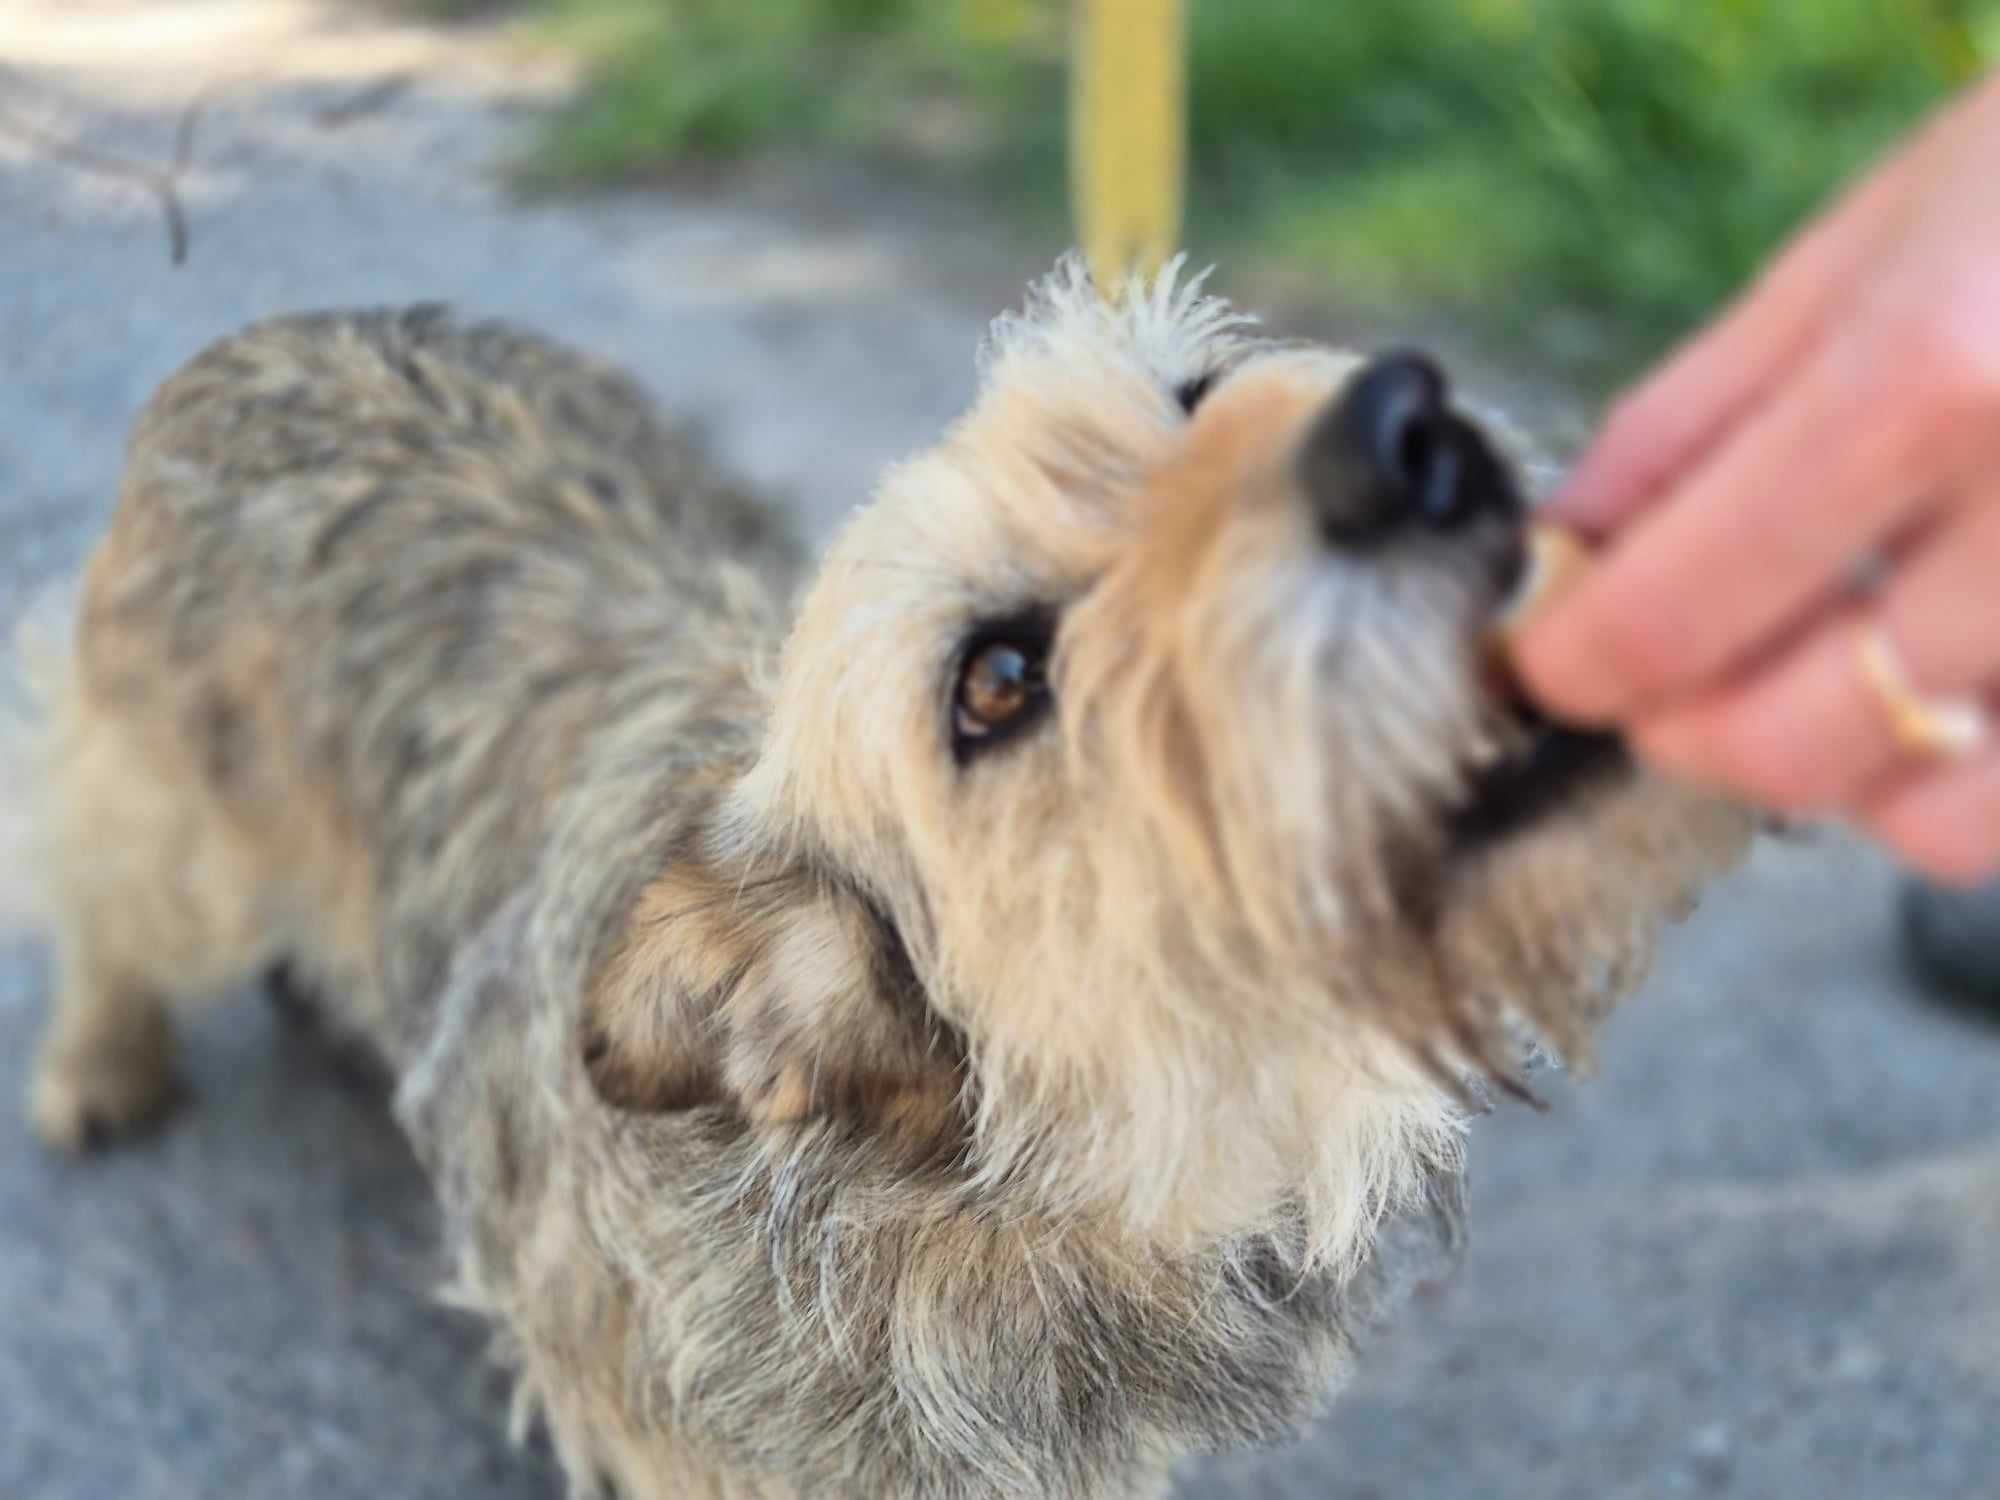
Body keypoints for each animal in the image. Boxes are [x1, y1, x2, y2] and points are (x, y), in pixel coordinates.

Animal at [7, 264, 1752, 1496]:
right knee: (94, 875)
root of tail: (276, 331)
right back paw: (100, 1059)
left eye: (1194, 394)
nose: (1409, 431)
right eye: (995, 680)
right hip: (175, 823)